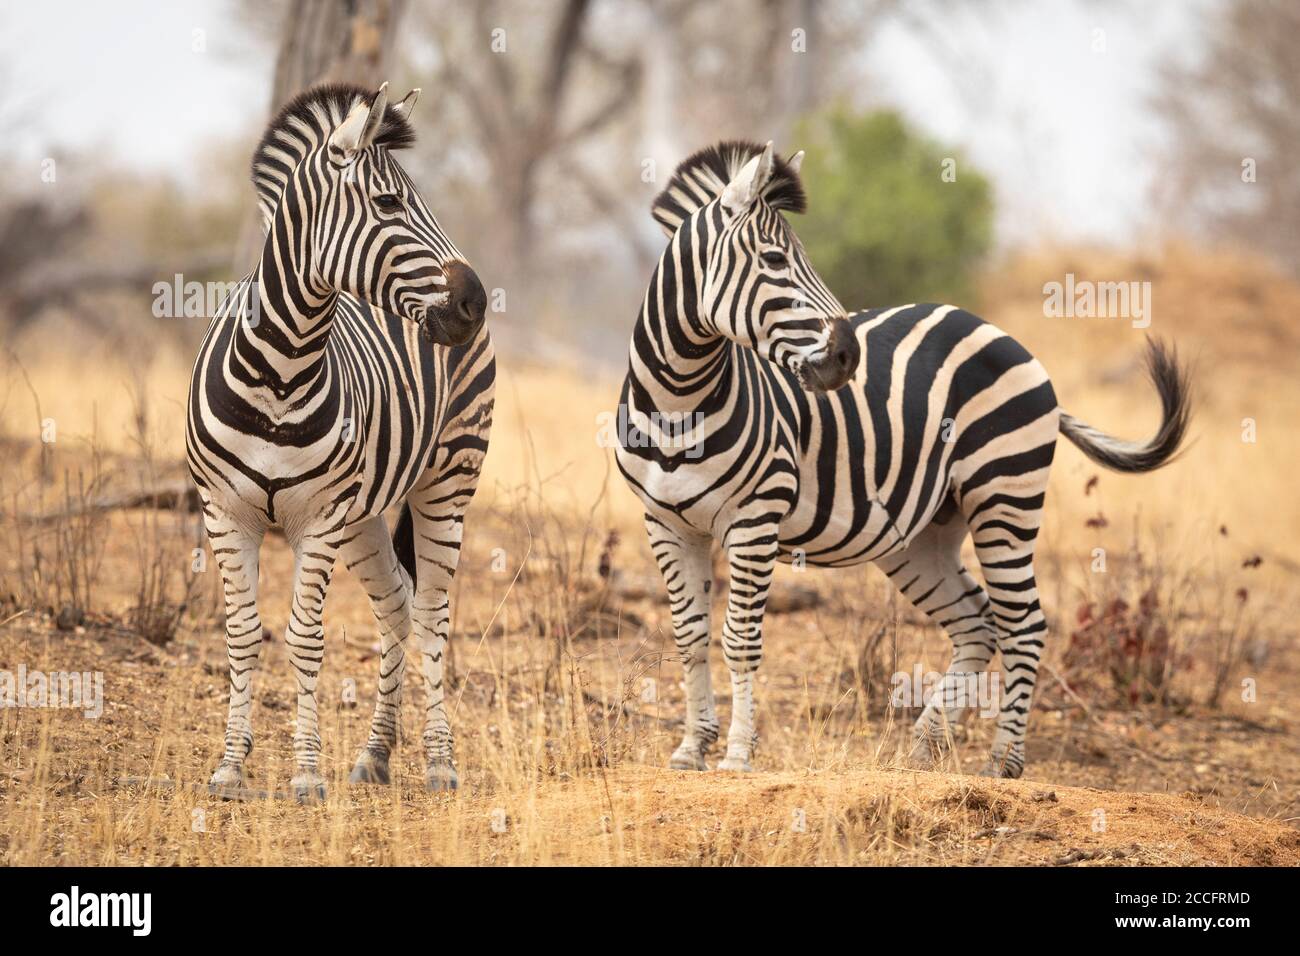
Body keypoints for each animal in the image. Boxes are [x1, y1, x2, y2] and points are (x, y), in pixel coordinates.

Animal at [188, 83, 496, 801]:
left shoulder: (318, 519)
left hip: (448, 481)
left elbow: (305, 639)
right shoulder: (225, 512)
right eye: (387, 204)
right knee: (399, 608)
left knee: (433, 615)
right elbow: (242, 635)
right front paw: (230, 768)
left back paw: (439, 763)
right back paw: (375, 756)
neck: (281, 369)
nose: (474, 302)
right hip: (363, 517)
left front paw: (305, 775)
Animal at [613, 140, 1190, 780]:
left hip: (1004, 497)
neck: (678, 403)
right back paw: (926, 745)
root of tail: (995, 330)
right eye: (774, 259)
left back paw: (1002, 762)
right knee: (977, 622)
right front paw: (692, 747)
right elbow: (689, 635)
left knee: (1025, 624)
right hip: (923, 534)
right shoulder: (665, 524)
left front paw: (738, 755)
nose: (847, 355)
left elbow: (740, 639)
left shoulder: (755, 518)